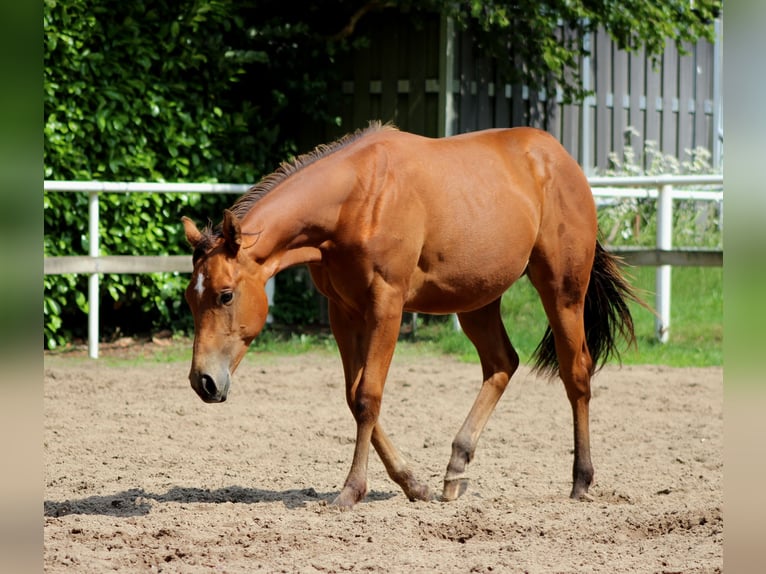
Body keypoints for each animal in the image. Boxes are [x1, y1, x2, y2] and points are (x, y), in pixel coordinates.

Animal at [181, 121, 639, 509]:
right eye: (190, 298)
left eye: (225, 295)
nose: (203, 382)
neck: (357, 198)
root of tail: (560, 158)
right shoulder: (343, 312)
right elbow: (353, 396)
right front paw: (413, 484)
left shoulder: (387, 306)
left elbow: (368, 396)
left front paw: (351, 491)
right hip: (476, 301)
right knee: (502, 364)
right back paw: (455, 469)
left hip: (562, 292)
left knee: (576, 372)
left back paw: (580, 481)